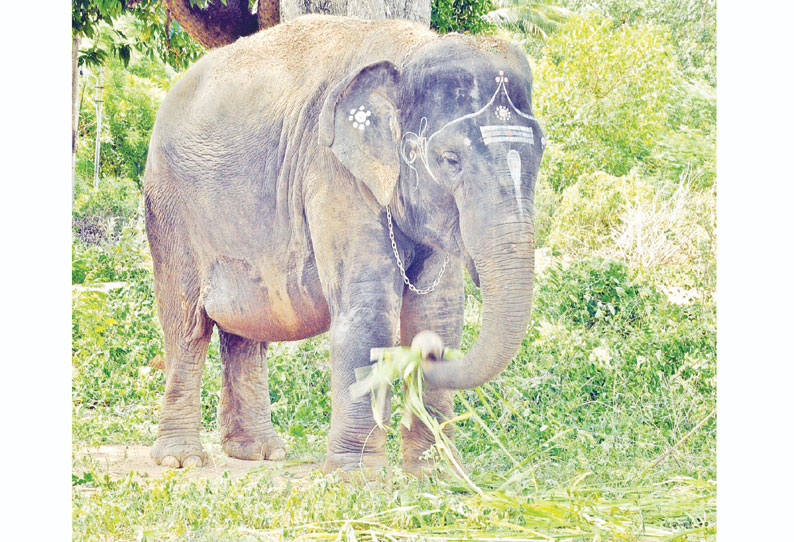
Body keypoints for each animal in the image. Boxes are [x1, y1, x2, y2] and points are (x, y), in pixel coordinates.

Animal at [142, 13, 540, 476]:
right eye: (450, 160)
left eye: (540, 154)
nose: (425, 354)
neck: (412, 49)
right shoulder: (333, 170)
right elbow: (369, 307)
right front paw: (357, 477)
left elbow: (438, 311)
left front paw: (437, 474)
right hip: (170, 210)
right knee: (186, 325)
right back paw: (182, 458)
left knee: (246, 328)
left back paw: (258, 452)